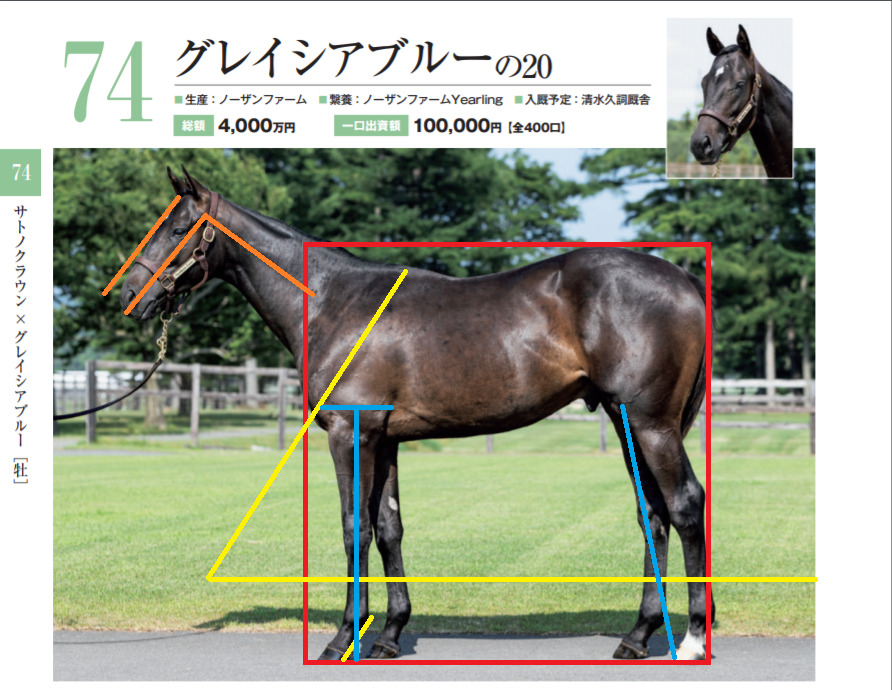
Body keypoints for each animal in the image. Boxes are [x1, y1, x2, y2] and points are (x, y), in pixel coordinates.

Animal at [121, 167, 715, 661]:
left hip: (651, 425)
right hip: (625, 421)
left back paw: (690, 639)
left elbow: (354, 528)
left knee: (685, 505)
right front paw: (388, 634)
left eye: (179, 228)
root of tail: (683, 280)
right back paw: (638, 636)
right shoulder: (385, 439)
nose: (129, 293)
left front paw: (343, 637)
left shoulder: (349, 434)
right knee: (652, 514)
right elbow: (389, 528)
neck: (333, 302)